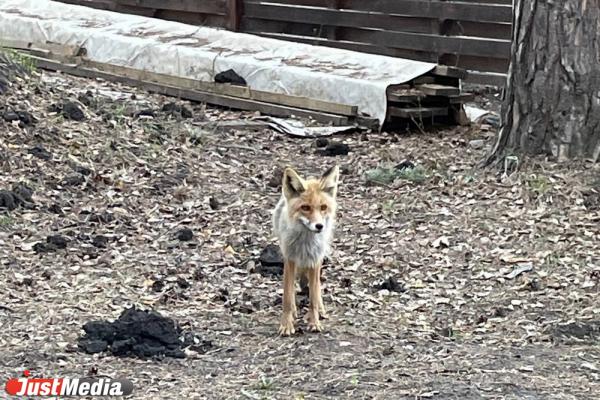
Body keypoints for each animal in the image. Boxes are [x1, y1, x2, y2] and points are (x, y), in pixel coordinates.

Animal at [270, 164, 340, 336]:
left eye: (323, 207)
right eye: (305, 208)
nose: (319, 226)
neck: (305, 244)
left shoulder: (314, 260)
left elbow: (313, 298)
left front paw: (314, 322)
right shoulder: (290, 259)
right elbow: (287, 297)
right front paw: (287, 324)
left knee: (316, 288)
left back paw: (320, 310)